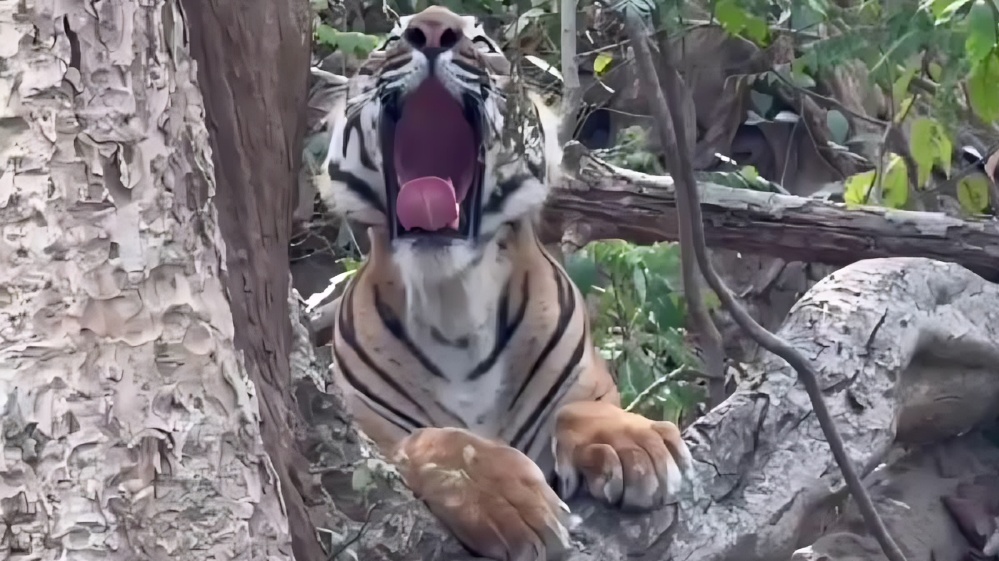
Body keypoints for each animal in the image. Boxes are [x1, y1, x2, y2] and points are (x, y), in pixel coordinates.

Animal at [317, 6, 694, 560]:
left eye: (481, 42)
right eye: (392, 39)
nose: (432, 28)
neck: (452, 299)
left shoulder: (586, 384)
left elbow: (583, 408)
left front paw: (638, 446)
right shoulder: (368, 436)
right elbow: (440, 440)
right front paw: (510, 504)